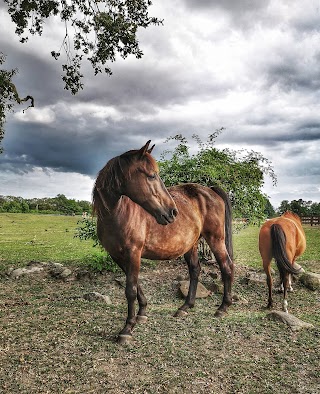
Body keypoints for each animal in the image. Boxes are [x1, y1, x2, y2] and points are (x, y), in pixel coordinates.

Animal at [91, 141, 234, 342]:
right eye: (151, 175)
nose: (172, 212)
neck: (118, 213)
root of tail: (210, 190)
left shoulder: (133, 253)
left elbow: (130, 290)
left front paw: (127, 328)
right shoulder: (118, 256)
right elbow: (135, 285)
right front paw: (142, 313)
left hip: (216, 239)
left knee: (226, 266)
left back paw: (222, 308)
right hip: (191, 245)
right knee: (195, 270)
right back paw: (185, 307)